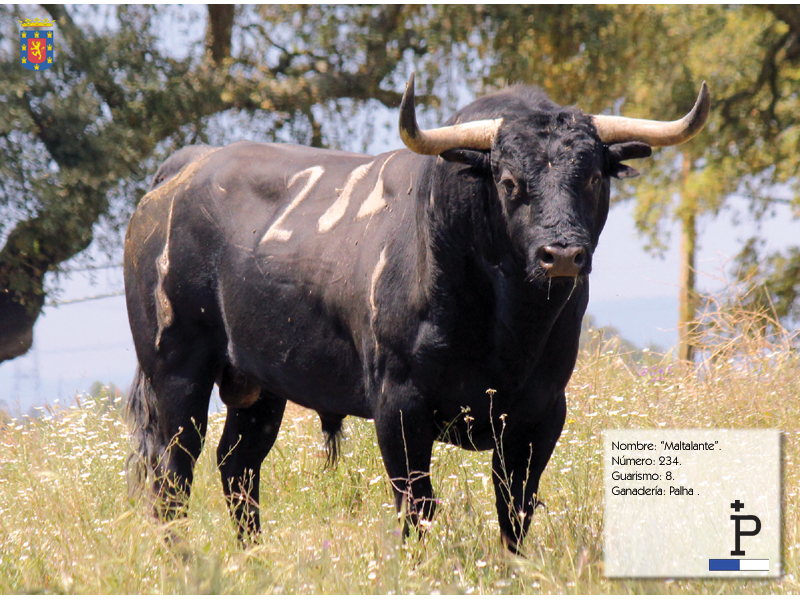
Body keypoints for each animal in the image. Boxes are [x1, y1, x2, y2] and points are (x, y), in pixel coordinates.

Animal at [123, 76, 708, 552]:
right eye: (508, 181)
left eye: (592, 177)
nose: (562, 254)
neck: (508, 330)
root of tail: (188, 167)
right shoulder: (399, 405)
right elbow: (417, 505)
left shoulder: (541, 412)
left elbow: (515, 508)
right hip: (175, 369)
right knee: (172, 475)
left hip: (260, 385)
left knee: (238, 467)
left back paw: (254, 559)